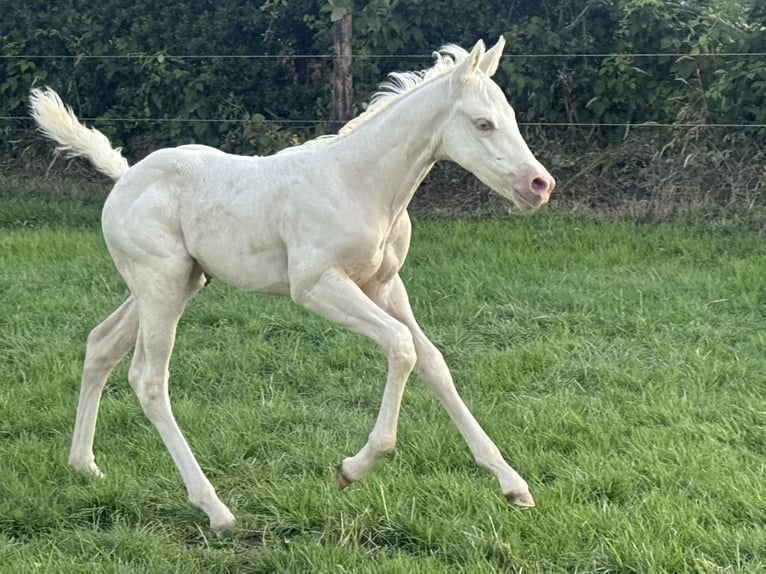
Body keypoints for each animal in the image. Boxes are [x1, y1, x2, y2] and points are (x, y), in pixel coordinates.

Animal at [30, 37, 555, 530]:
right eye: (483, 124)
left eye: (510, 117)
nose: (540, 186)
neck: (360, 183)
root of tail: (124, 177)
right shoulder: (316, 285)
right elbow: (401, 347)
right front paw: (350, 469)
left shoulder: (386, 285)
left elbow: (433, 362)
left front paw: (513, 484)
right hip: (162, 283)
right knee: (149, 379)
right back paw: (215, 508)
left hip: (175, 282)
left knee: (101, 344)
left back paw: (84, 465)